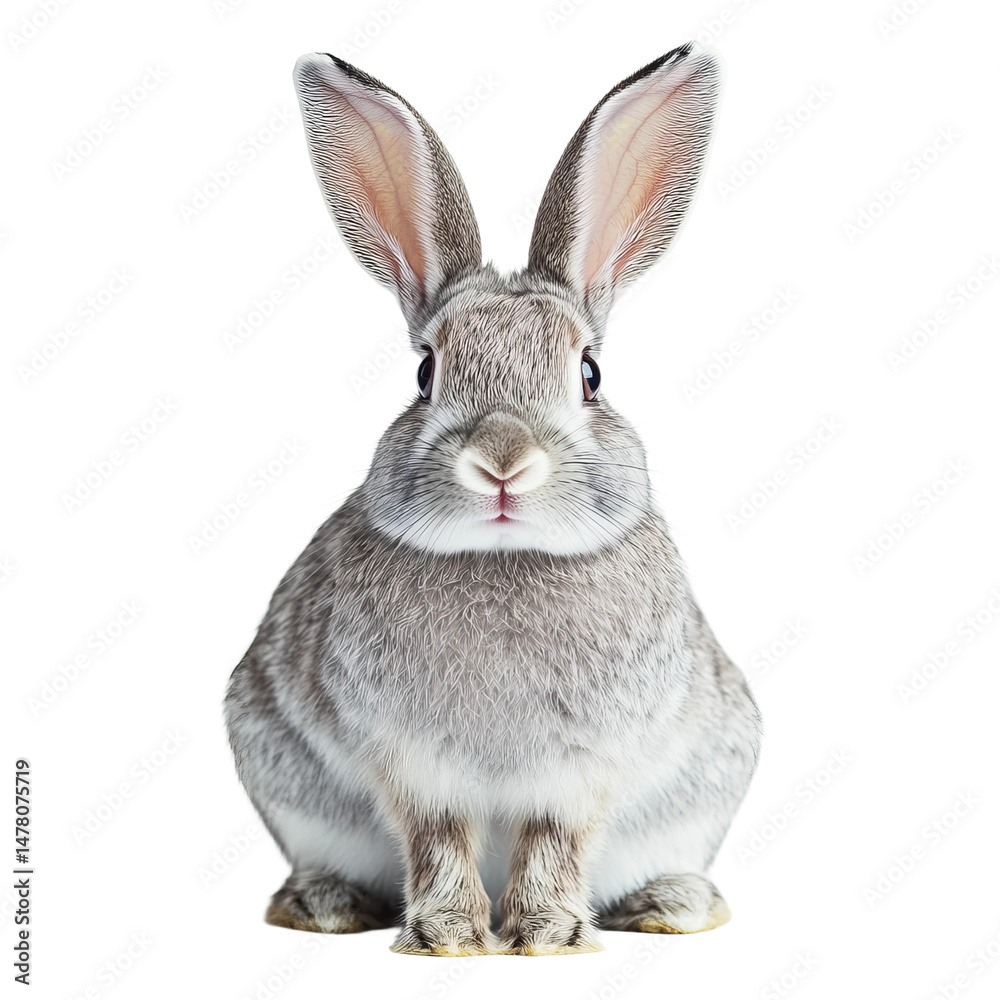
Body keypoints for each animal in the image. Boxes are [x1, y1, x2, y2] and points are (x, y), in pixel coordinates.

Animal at [224, 42, 761, 956]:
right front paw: (449, 938)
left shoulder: (580, 771)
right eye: (424, 373)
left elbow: (555, 844)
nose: (504, 461)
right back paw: (326, 906)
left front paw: (547, 937)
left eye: (590, 374)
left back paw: (672, 907)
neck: (505, 554)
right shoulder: (415, 767)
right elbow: (439, 842)